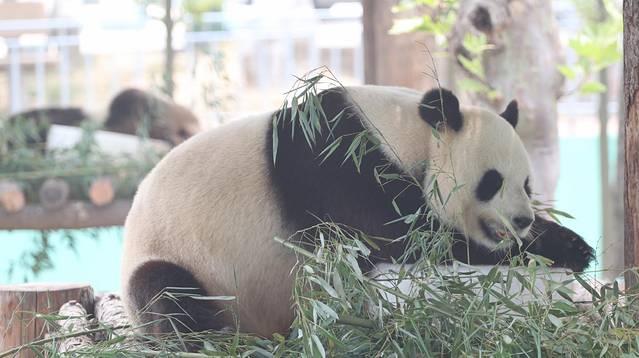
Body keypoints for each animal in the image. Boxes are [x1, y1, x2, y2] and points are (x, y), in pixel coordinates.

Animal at [121, 85, 596, 338]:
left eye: (527, 184)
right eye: (492, 181)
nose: (522, 220)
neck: (408, 132)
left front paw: (572, 243)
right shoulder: (331, 158)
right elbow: (400, 234)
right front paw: (558, 246)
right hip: (176, 259)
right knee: (167, 295)